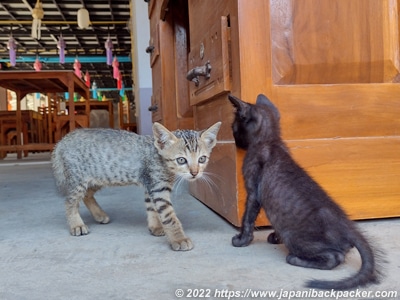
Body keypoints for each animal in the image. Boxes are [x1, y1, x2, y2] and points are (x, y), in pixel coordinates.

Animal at [51, 122, 220, 251]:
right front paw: (179, 239)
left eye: (202, 159)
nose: (194, 173)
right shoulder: (158, 187)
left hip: (100, 178)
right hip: (80, 179)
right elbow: (169, 216)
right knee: (70, 201)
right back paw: (77, 225)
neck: (159, 156)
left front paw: (154, 227)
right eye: (181, 160)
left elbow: (151, 208)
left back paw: (99, 215)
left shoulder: (150, 185)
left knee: (87, 195)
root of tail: (63, 140)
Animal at [227, 92, 380, 290]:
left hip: (294, 237)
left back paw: (294, 259)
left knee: (334, 257)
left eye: (233, 127)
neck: (270, 140)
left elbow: (247, 218)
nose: (234, 139)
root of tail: (348, 227)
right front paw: (275, 237)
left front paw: (242, 240)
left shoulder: (253, 191)